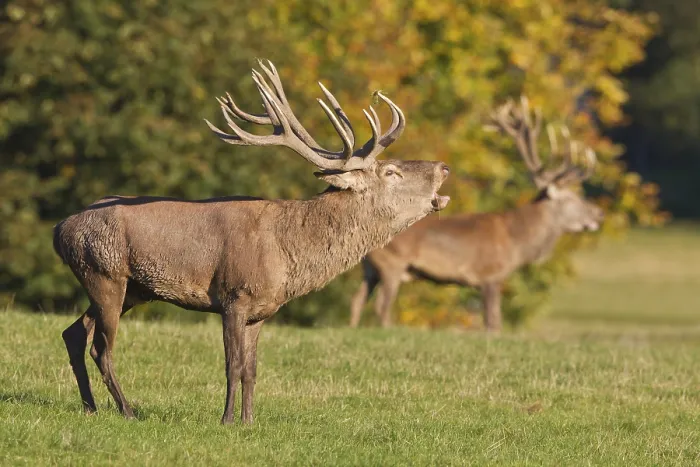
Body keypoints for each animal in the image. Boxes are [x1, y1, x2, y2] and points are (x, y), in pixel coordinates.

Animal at [53, 60, 450, 425]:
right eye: (391, 172)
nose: (443, 167)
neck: (288, 253)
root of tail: (60, 229)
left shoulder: (262, 310)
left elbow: (251, 370)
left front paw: (249, 421)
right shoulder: (234, 295)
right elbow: (232, 365)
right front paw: (227, 421)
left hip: (131, 289)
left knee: (73, 333)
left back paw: (90, 407)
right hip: (104, 273)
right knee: (101, 347)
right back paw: (127, 411)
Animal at [349, 97, 603, 332]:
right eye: (571, 198)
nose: (598, 214)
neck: (517, 242)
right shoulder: (490, 274)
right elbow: (493, 322)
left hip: (370, 269)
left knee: (357, 300)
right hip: (392, 264)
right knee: (381, 305)